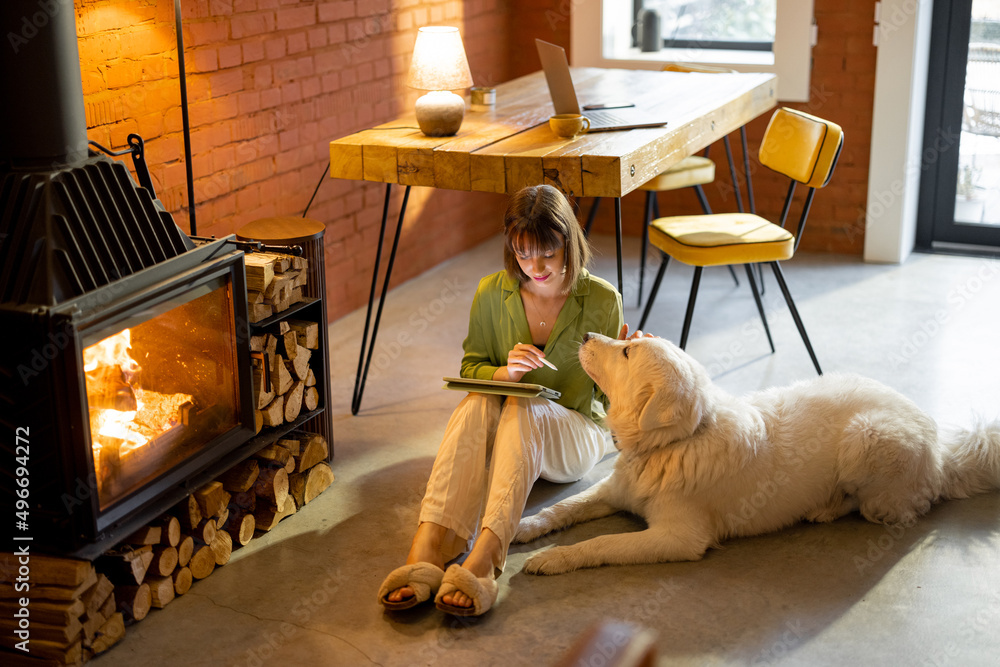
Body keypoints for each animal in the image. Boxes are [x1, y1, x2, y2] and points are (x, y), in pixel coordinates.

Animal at [516, 334, 1000, 576]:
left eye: (627, 350)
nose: (585, 334)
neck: (677, 442)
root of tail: (942, 449)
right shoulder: (615, 489)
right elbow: (563, 507)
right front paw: (523, 528)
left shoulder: (678, 538)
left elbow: (602, 543)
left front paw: (553, 559)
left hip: (865, 438)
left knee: (884, 508)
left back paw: (826, 508)